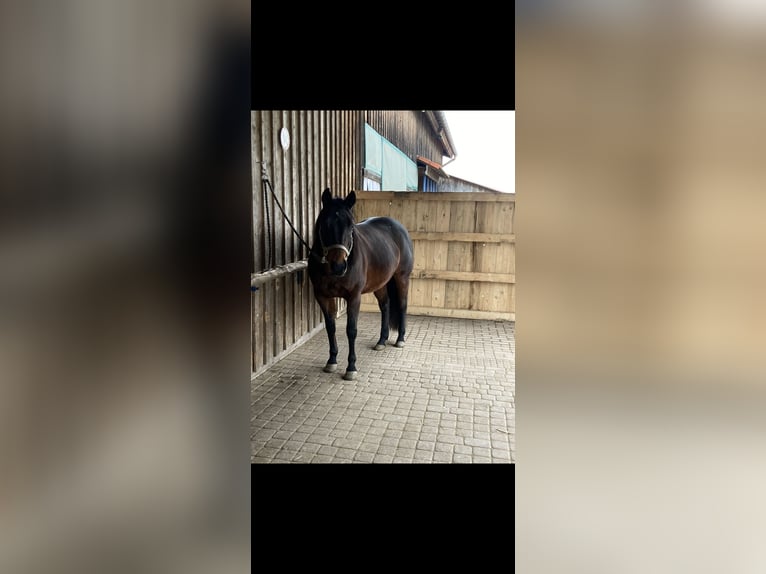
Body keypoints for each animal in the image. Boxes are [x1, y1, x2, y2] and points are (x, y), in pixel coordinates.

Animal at [308, 188, 414, 380]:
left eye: (351, 226)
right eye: (325, 224)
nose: (339, 266)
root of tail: (399, 228)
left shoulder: (354, 297)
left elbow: (351, 330)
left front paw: (351, 367)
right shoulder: (322, 296)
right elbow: (330, 327)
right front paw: (332, 361)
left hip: (402, 278)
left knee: (402, 305)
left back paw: (400, 339)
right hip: (380, 284)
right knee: (385, 306)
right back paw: (381, 341)